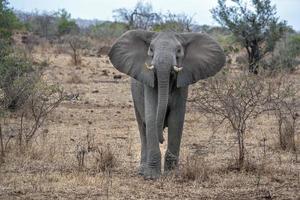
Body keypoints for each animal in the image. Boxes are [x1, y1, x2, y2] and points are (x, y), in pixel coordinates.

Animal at [108, 30, 225, 180]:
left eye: (179, 50)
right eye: (151, 49)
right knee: (143, 127)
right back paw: (142, 171)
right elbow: (151, 117)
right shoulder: (149, 83)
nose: (161, 140)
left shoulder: (182, 84)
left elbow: (176, 120)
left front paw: (172, 174)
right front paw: (152, 177)